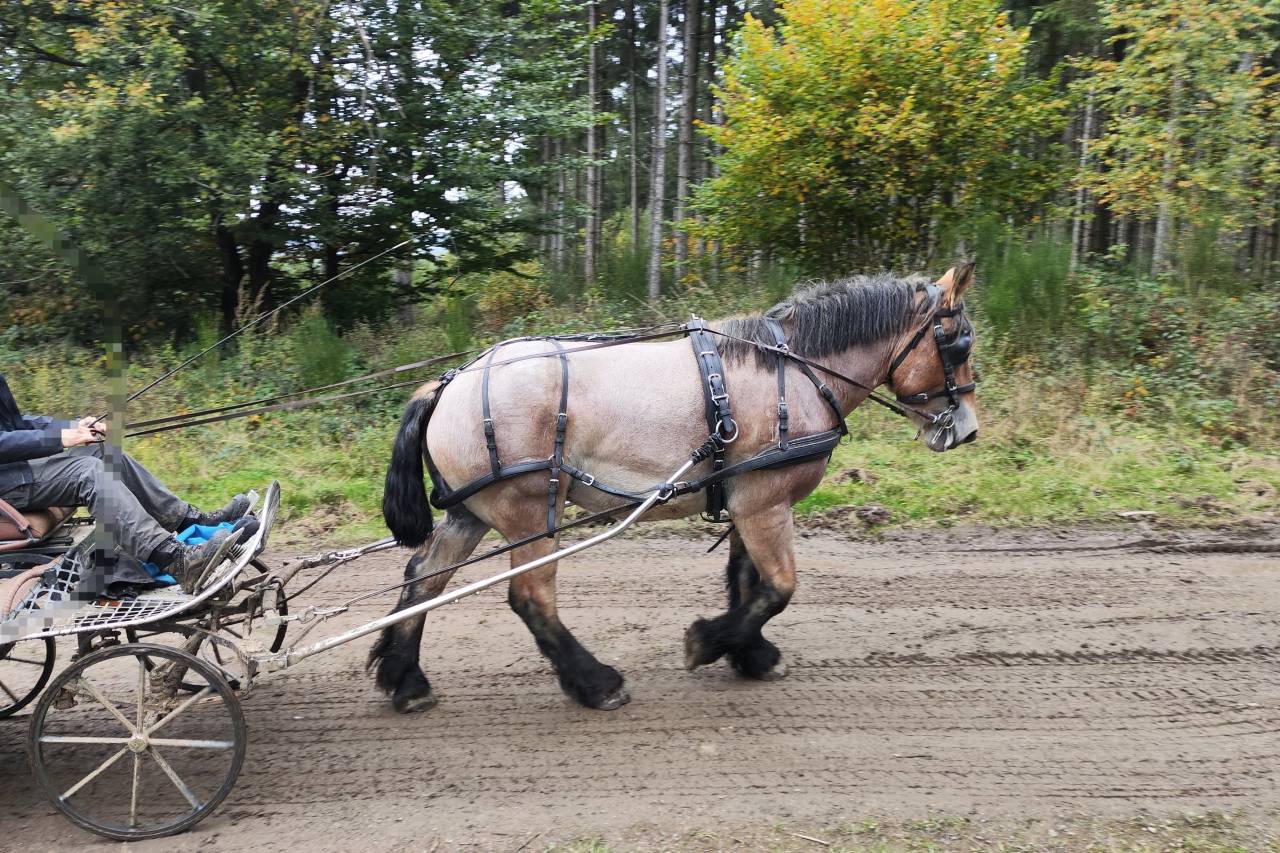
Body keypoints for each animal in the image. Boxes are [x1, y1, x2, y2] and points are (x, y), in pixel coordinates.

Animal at [373, 264, 978, 713]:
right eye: (957, 344)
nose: (966, 430)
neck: (797, 372)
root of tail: (450, 382)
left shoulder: (748, 499)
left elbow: (747, 581)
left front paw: (751, 654)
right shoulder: (764, 503)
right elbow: (778, 587)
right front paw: (708, 642)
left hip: (472, 511)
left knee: (424, 576)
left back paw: (407, 680)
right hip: (529, 513)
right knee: (530, 597)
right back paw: (596, 683)